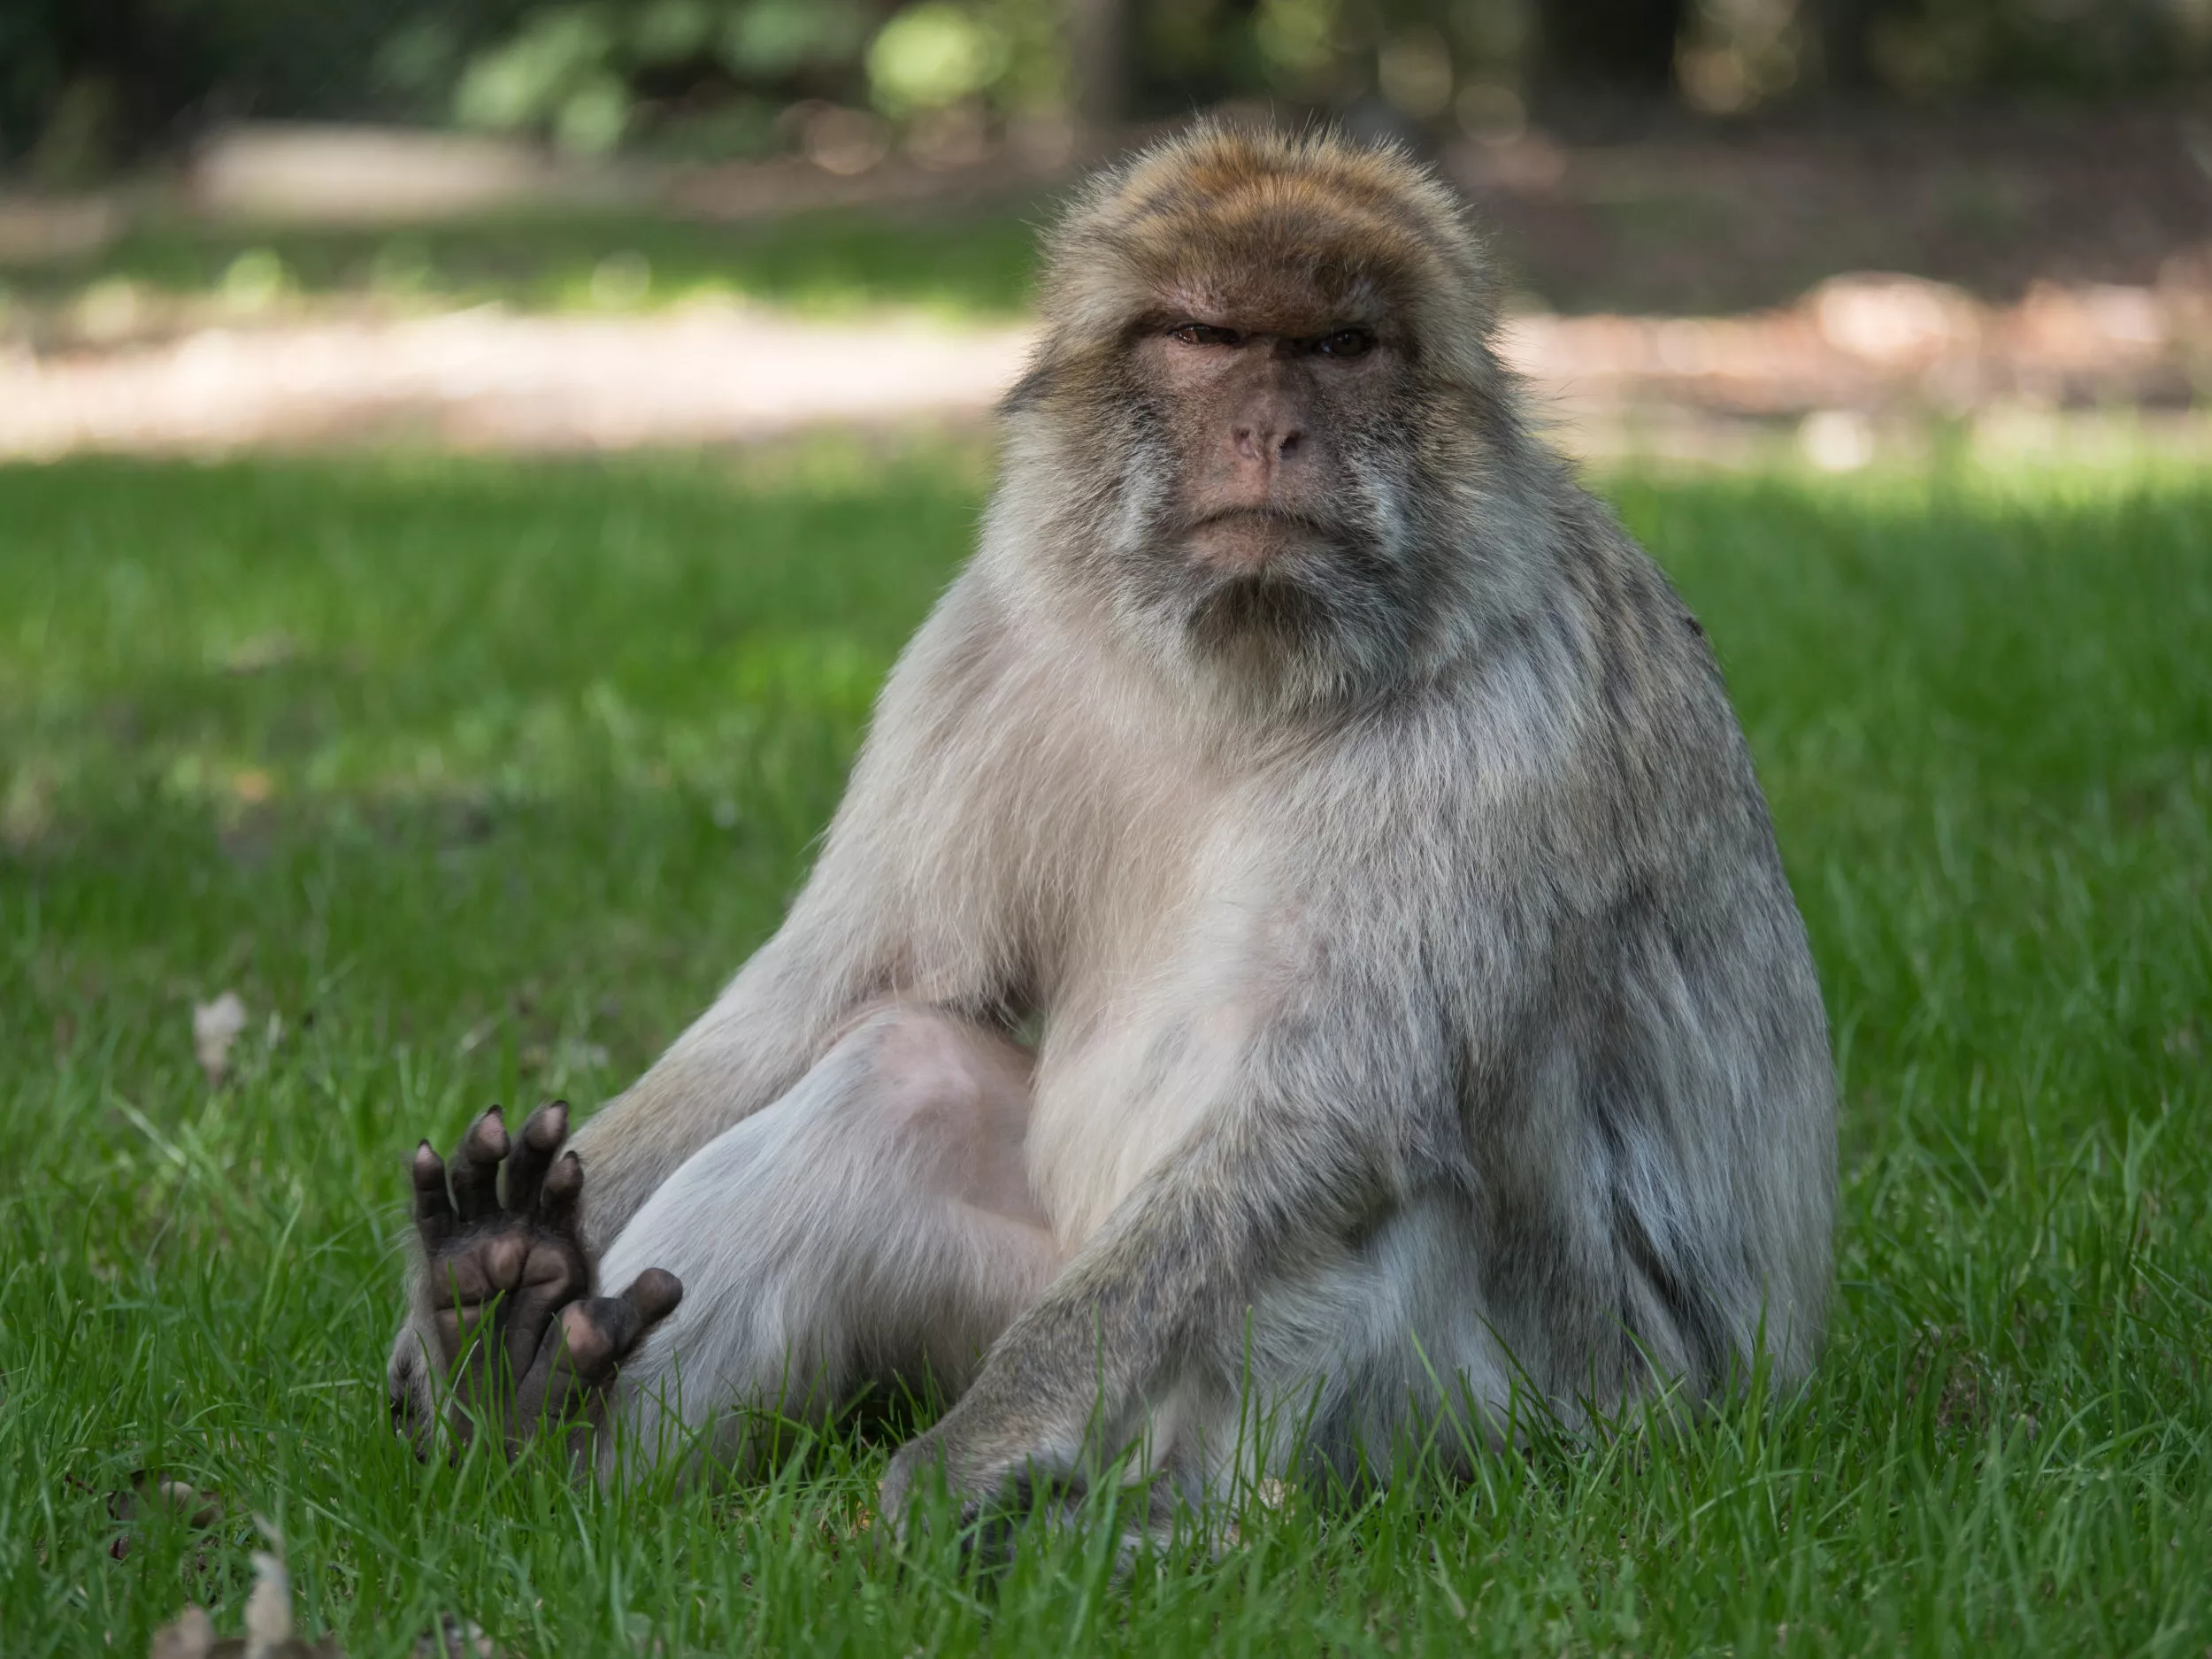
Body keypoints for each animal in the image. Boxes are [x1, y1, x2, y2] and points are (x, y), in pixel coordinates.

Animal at [386, 123, 1836, 1526]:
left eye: (1339, 348)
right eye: (1206, 337)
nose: (1272, 433)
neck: (1244, 672)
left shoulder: (1501, 732)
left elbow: (1326, 1116)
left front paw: (962, 1454)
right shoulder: (985, 648)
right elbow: (838, 987)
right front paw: (450, 1309)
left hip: (1515, 1415)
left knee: (1351, 1188)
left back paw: (1173, 1522)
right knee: (898, 1070)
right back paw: (518, 1385)